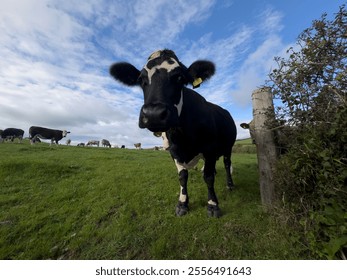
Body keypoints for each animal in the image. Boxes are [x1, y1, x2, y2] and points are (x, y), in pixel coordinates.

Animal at [110, 49, 238, 218]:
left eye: (179, 78)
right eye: (141, 80)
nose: (153, 114)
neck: (183, 138)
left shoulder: (210, 148)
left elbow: (209, 178)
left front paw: (213, 205)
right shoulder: (175, 152)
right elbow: (183, 177)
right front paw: (182, 204)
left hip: (228, 147)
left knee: (227, 163)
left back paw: (230, 184)